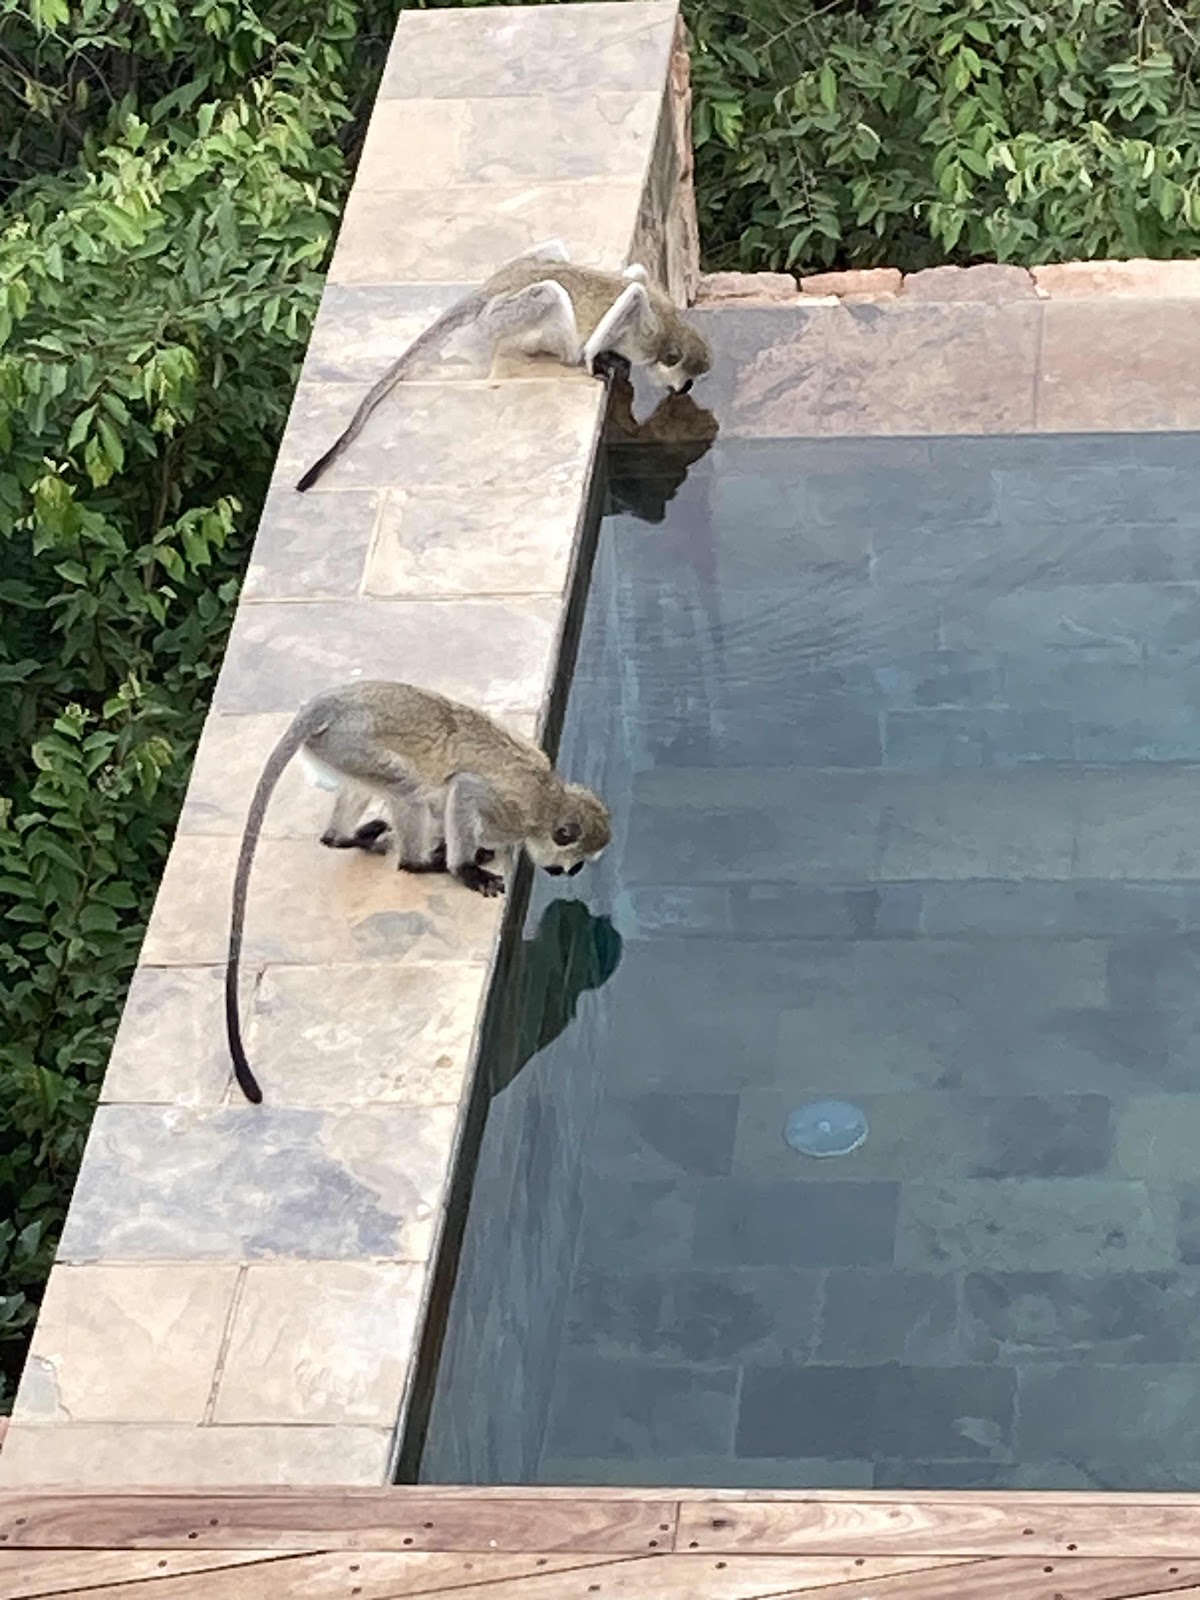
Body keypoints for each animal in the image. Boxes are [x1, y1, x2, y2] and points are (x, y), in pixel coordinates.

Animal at [225, 679, 612, 1103]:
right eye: (576, 862)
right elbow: (464, 789)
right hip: (351, 742)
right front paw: (464, 868)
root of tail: (337, 699)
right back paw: (419, 862)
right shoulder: (513, 810)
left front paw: (470, 850)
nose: (568, 874)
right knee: (408, 788)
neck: (547, 803)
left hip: (335, 749)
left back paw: (342, 838)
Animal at [294, 239, 712, 492]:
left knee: (555, 253)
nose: (685, 389)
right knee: (551, 293)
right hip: (502, 317)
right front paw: (596, 359)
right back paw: (570, 355)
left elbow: (637, 273)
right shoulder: (648, 334)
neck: (670, 331)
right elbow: (634, 294)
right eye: (687, 379)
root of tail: (490, 287)